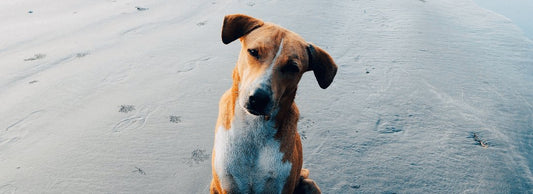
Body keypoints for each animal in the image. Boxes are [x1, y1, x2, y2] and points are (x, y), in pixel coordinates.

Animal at [209, 14, 336, 194]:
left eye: (293, 67)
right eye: (253, 52)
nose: (259, 98)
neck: (254, 129)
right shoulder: (227, 184)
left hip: (308, 183)